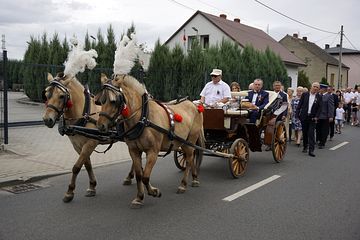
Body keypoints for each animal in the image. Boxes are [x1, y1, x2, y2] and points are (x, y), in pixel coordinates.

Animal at [42, 72, 135, 202]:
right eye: (46, 95)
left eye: (61, 96)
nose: (47, 119)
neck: (84, 114)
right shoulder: (78, 145)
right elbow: (87, 165)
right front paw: (92, 186)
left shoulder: (90, 143)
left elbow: (76, 167)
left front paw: (69, 192)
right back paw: (129, 177)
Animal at [95, 73, 204, 208]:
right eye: (101, 101)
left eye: (113, 101)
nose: (101, 126)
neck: (143, 117)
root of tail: (194, 105)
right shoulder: (134, 151)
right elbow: (139, 175)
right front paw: (139, 197)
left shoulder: (153, 151)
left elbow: (146, 176)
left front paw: (154, 192)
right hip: (184, 143)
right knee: (191, 158)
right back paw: (194, 178)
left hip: (189, 142)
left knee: (189, 160)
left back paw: (184, 184)